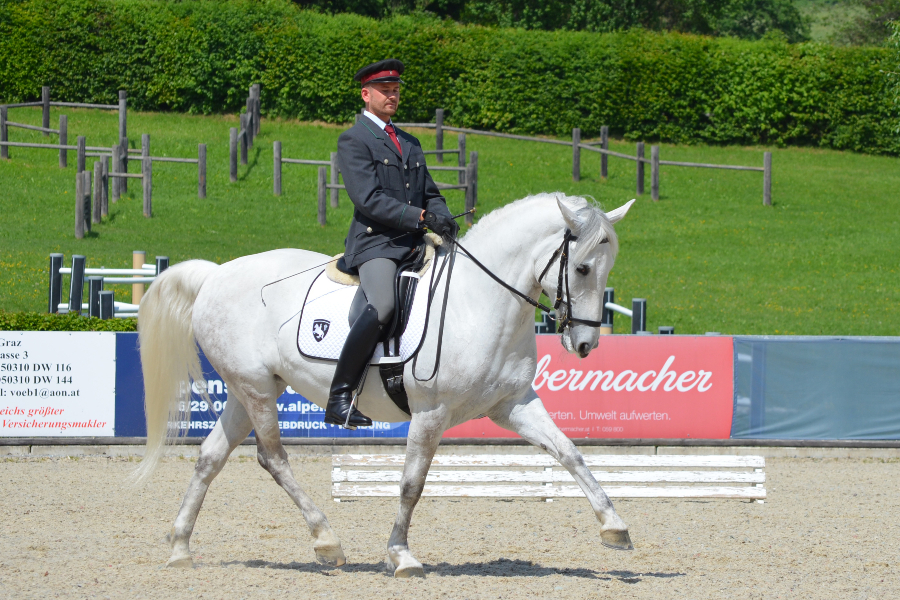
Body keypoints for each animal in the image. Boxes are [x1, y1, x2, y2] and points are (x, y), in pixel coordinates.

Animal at [137, 192, 636, 576]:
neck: (478, 304)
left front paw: (614, 526)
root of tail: (215, 274)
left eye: (609, 268)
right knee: (273, 458)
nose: (585, 343)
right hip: (256, 389)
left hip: (250, 390)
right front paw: (401, 555)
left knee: (210, 458)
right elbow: (411, 483)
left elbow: (569, 451)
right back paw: (326, 541)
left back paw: (180, 548)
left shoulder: (513, 404)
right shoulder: (431, 413)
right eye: (583, 269)